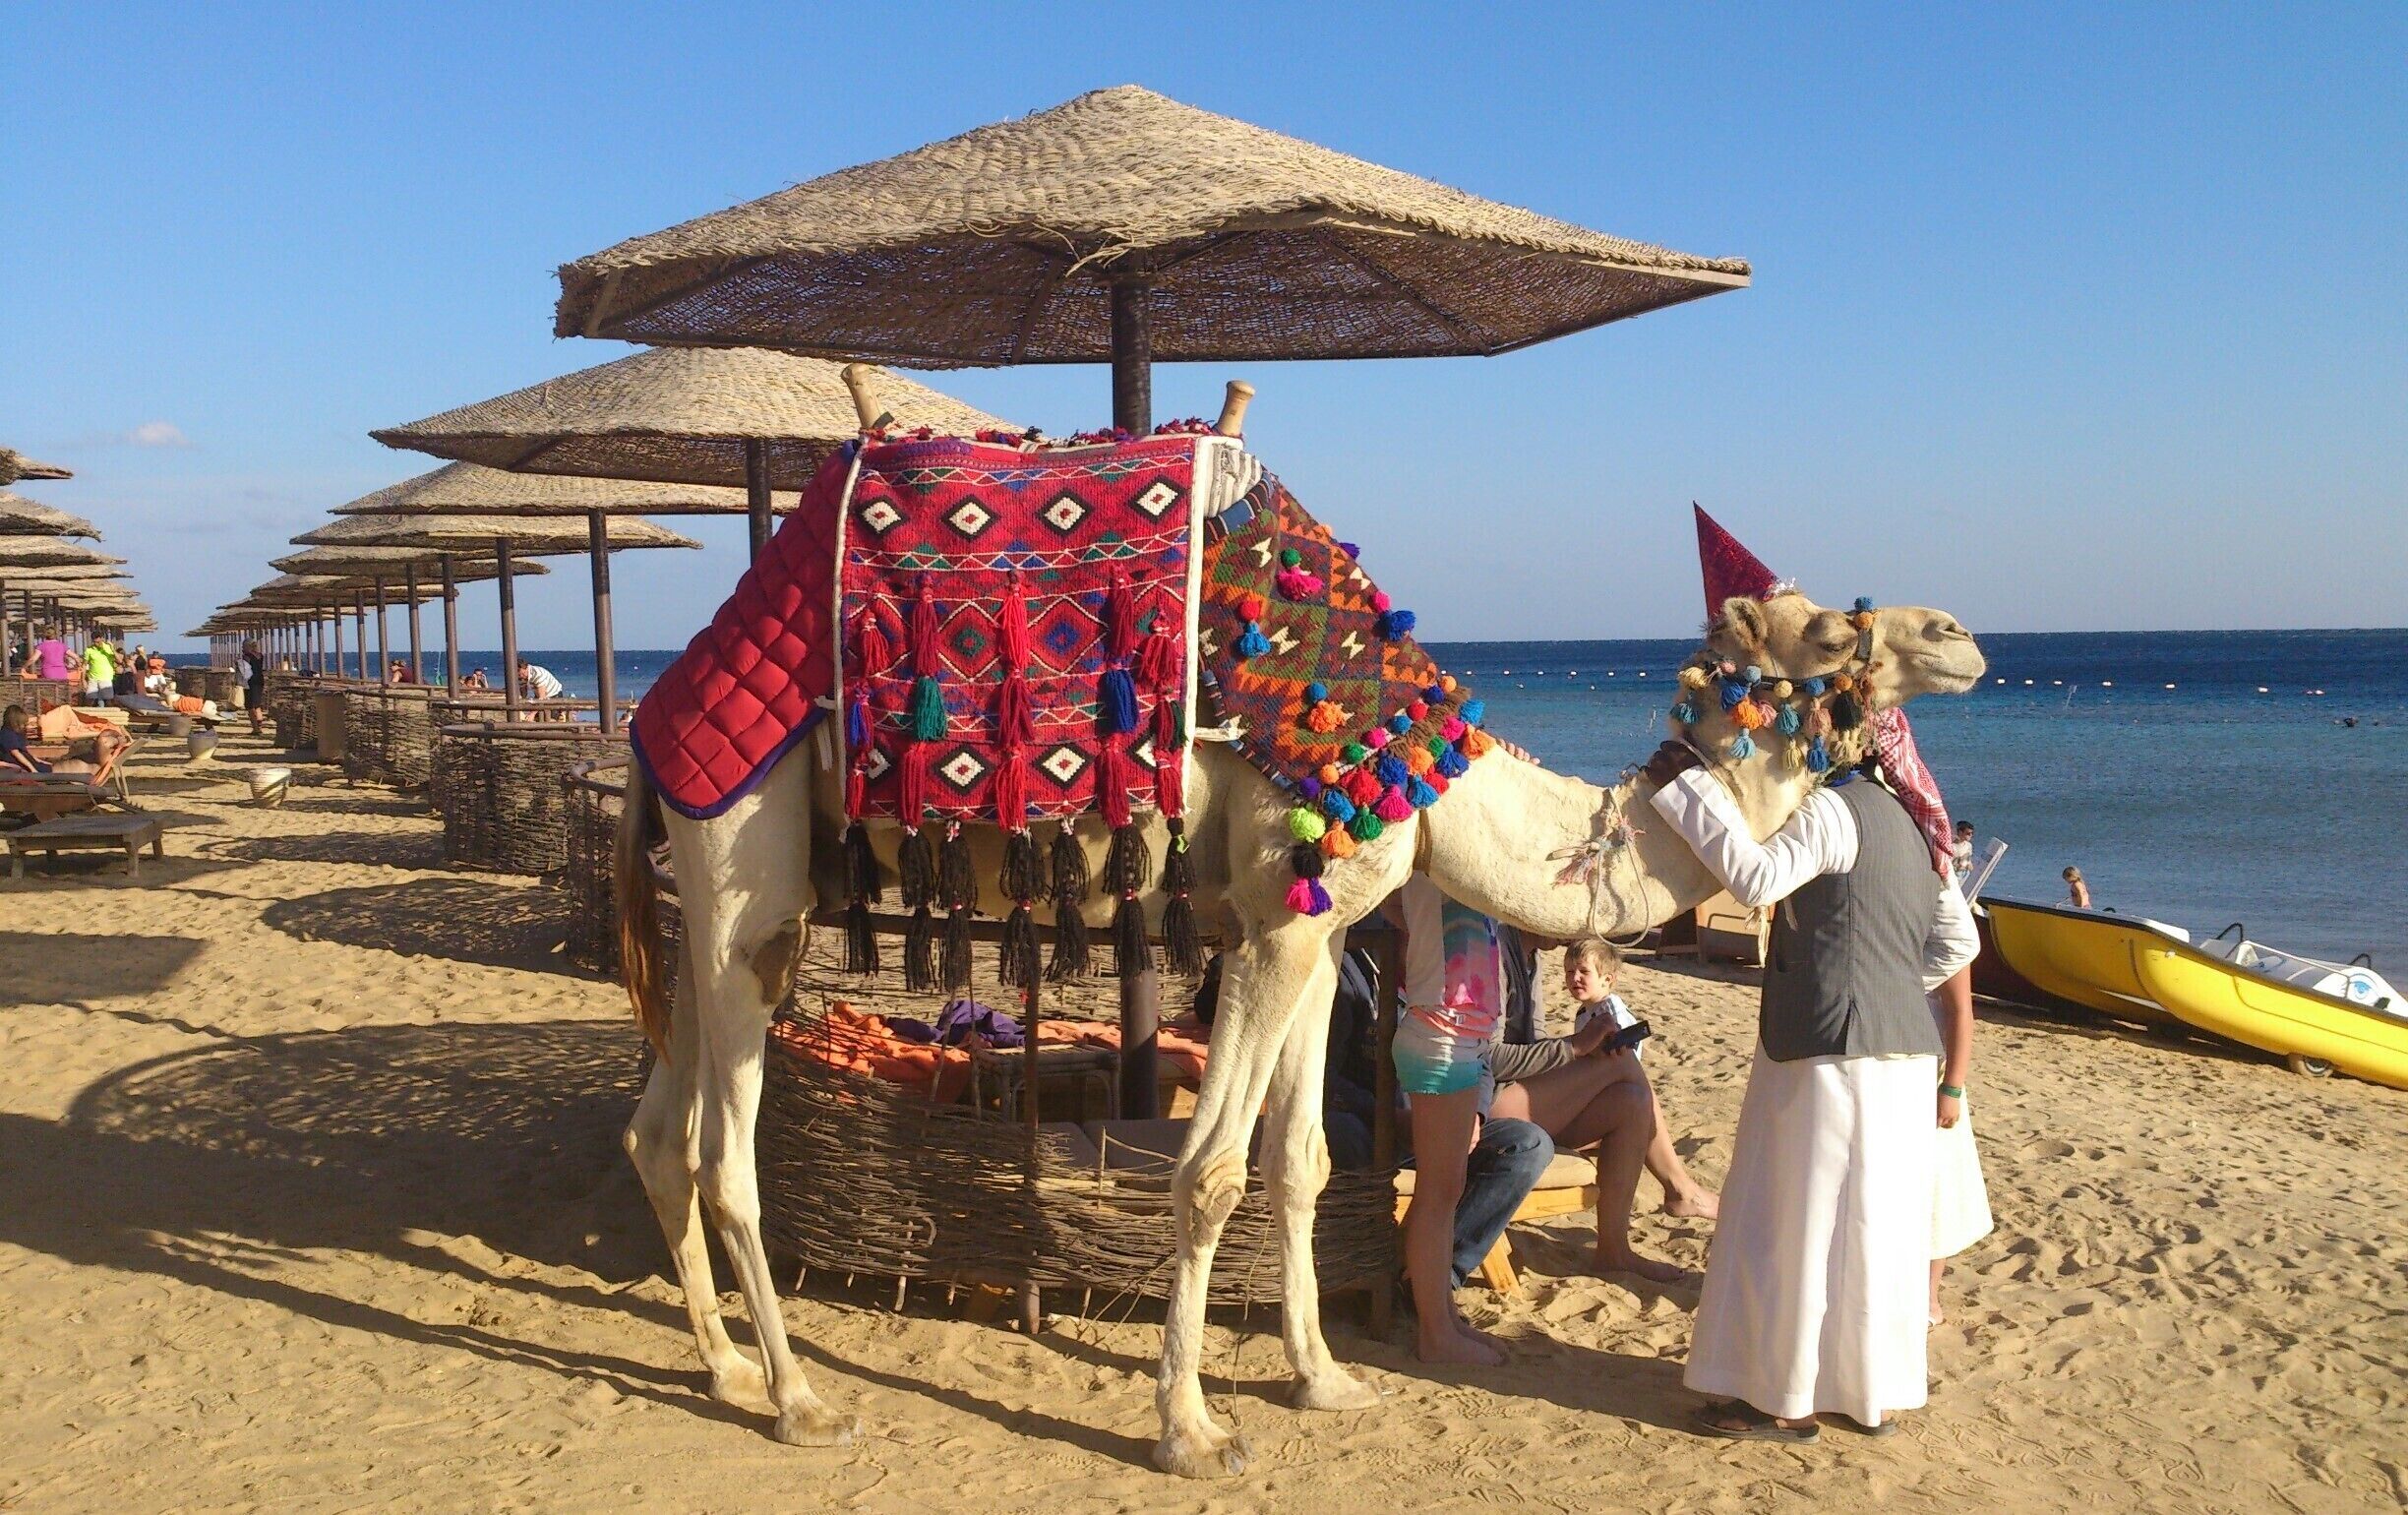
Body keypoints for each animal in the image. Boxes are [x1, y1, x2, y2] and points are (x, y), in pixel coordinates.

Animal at [610, 410, 1987, 1469]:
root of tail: (652, 715)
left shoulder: (1320, 939)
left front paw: (1322, 1374)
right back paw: (797, 1398)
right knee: (723, 1149)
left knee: (657, 1129)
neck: (1425, 771)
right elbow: (1211, 1170)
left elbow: (1308, 1159)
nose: (1962, 635)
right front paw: (1190, 1429)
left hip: (746, 904)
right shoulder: (1274, 911)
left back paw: (726, 1369)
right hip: (741, 858)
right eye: (1829, 631)